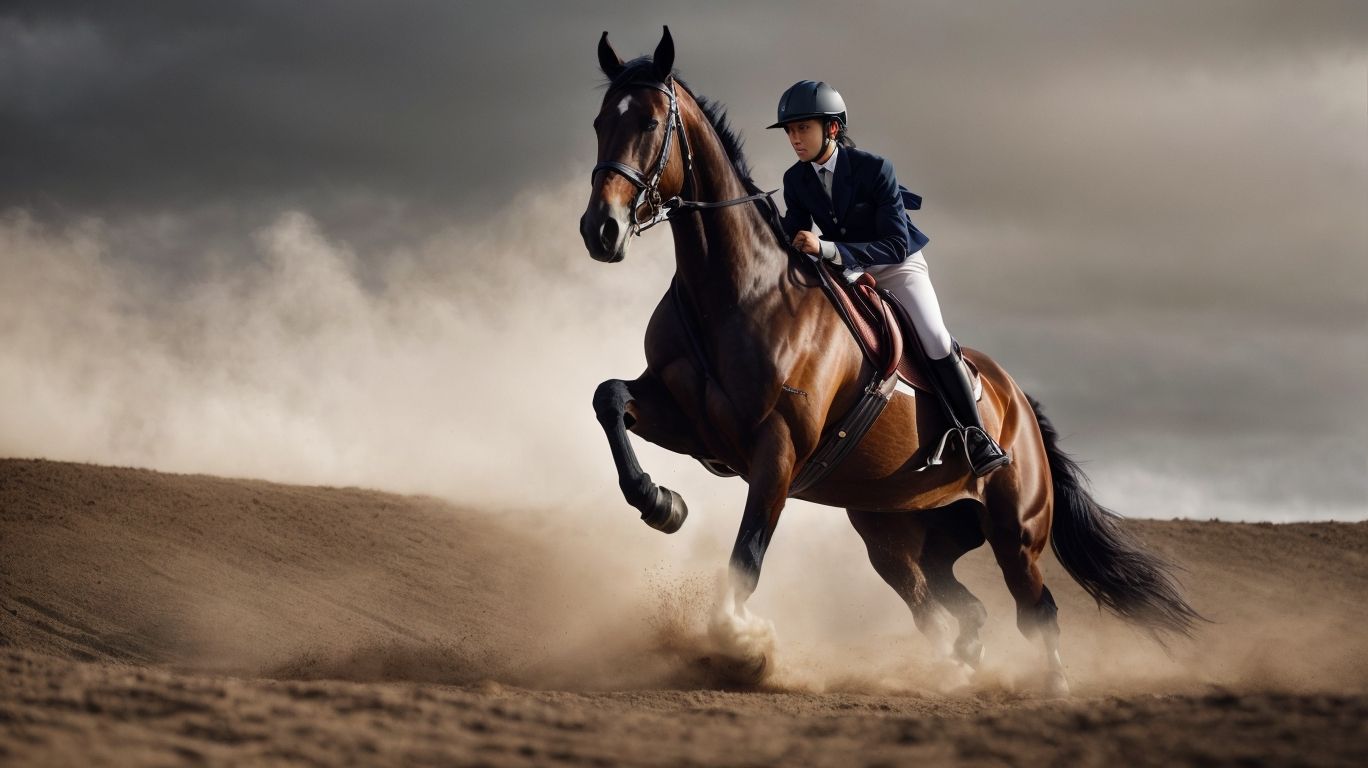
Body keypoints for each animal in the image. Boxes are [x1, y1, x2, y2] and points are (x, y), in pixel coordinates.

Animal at [579, 27, 1199, 695]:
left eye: (649, 122)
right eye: (599, 123)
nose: (600, 231)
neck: (733, 290)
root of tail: (1018, 402)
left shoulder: (777, 449)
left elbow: (746, 557)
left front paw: (740, 644)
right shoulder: (691, 422)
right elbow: (609, 398)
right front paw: (661, 504)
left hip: (1015, 529)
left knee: (1034, 606)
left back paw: (1052, 685)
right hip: (899, 531)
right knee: (950, 603)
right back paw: (961, 668)